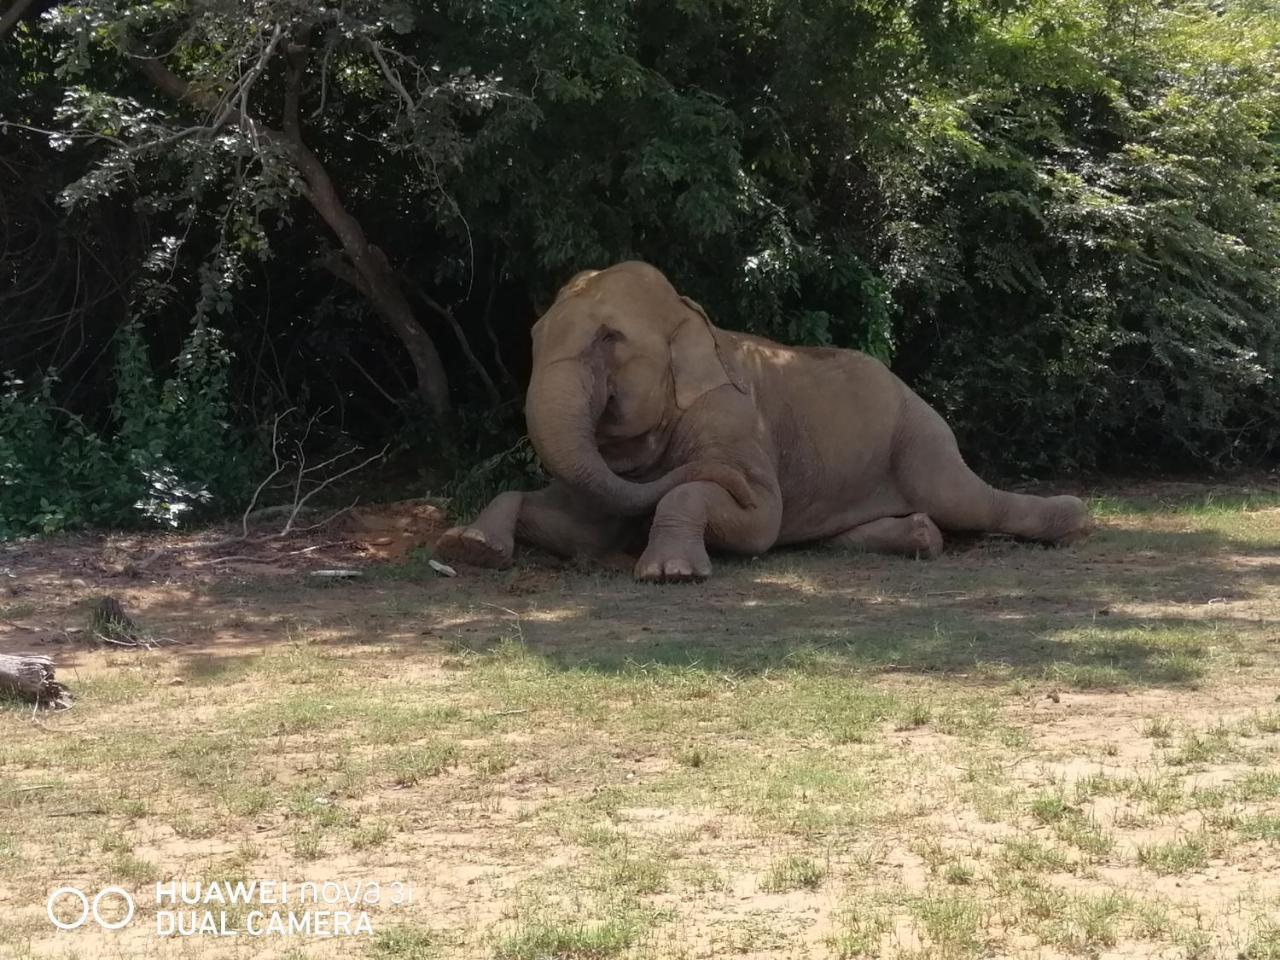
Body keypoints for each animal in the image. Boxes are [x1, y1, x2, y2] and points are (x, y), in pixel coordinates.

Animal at [432, 259, 1090, 583]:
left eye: (609, 339)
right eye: (535, 335)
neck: (693, 319)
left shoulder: (733, 425)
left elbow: (757, 519)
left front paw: (670, 574)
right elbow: (578, 528)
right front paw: (469, 548)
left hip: (920, 437)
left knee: (966, 499)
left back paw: (1075, 520)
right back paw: (921, 539)